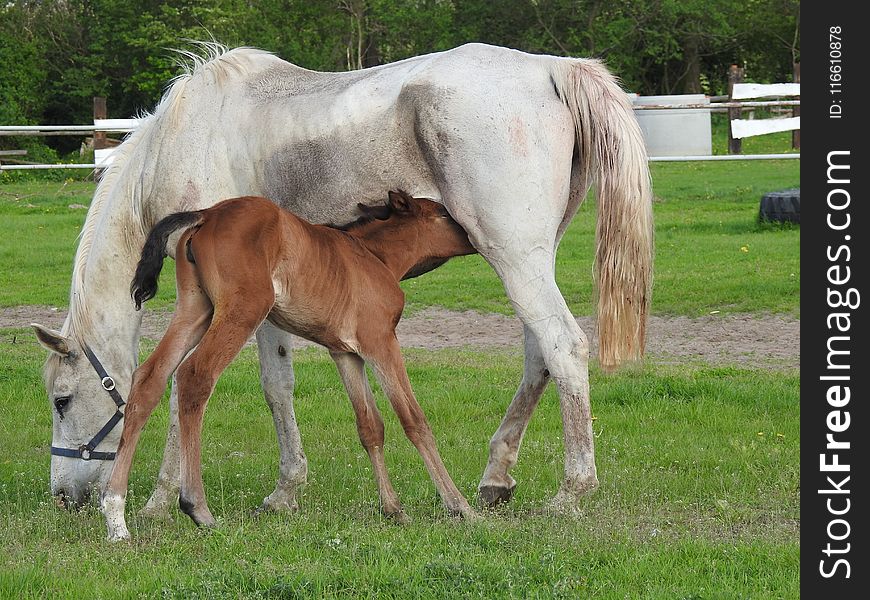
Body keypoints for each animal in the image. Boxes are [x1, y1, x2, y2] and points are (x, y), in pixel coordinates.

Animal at [104, 191, 480, 540]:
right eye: (443, 214)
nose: (472, 237)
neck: (375, 257)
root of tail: (208, 213)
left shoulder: (345, 353)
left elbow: (370, 426)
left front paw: (392, 508)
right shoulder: (381, 343)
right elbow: (414, 421)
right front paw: (460, 506)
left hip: (195, 309)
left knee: (149, 378)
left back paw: (115, 513)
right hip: (244, 309)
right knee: (195, 376)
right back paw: (197, 508)